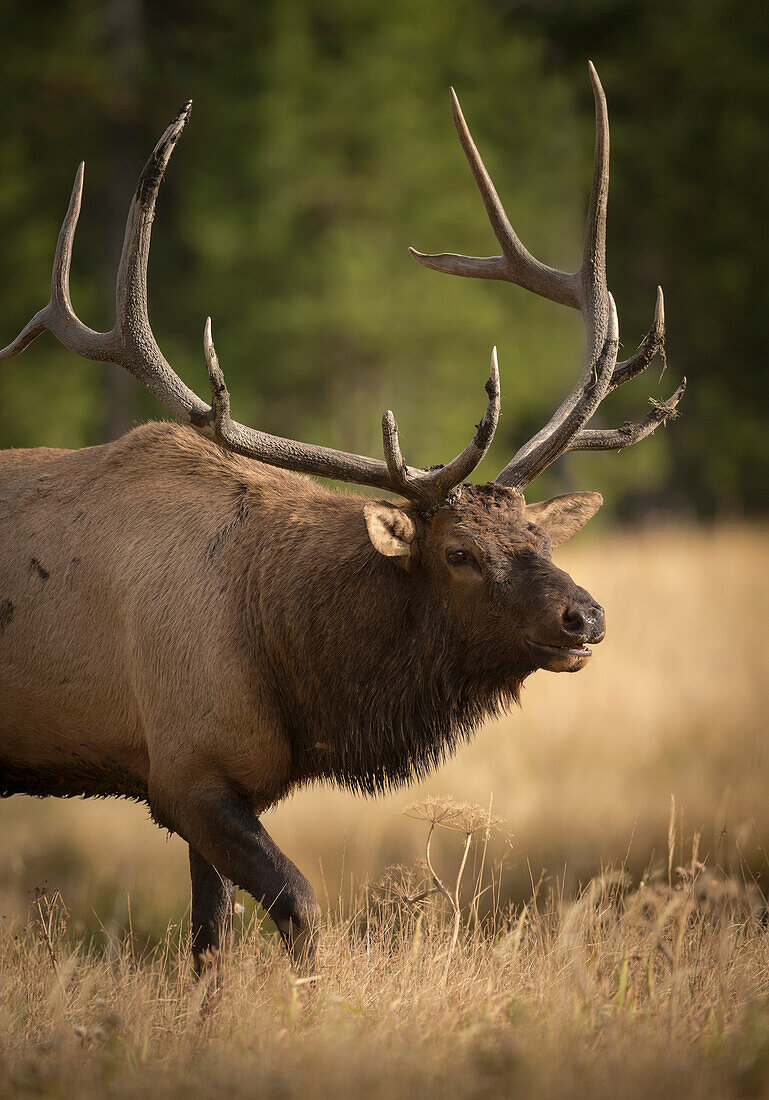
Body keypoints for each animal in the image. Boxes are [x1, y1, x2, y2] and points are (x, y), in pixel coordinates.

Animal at [1, 64, 686, 968]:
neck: (293, 663)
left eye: (537, 534)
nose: (584, 616)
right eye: (458, 553)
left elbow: (210, 944)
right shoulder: (184, 771)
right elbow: (298, 904)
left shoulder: (213, 780)